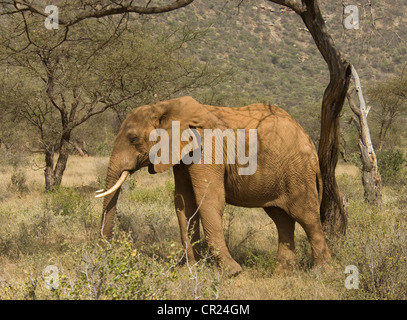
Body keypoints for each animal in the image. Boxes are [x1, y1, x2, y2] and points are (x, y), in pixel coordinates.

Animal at [97, 95, 334, 276]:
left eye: (133, 139)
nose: (102, 256)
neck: (166, 106)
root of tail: (308, 140)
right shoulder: (183, 156)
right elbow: (184, 204)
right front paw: (192, 270)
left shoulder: (207, 150)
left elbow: (209, 200)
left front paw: (232, 272)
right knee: (282, 219)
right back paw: (282, 273)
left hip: (298, 172)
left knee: (307, 217)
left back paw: (321, 274)